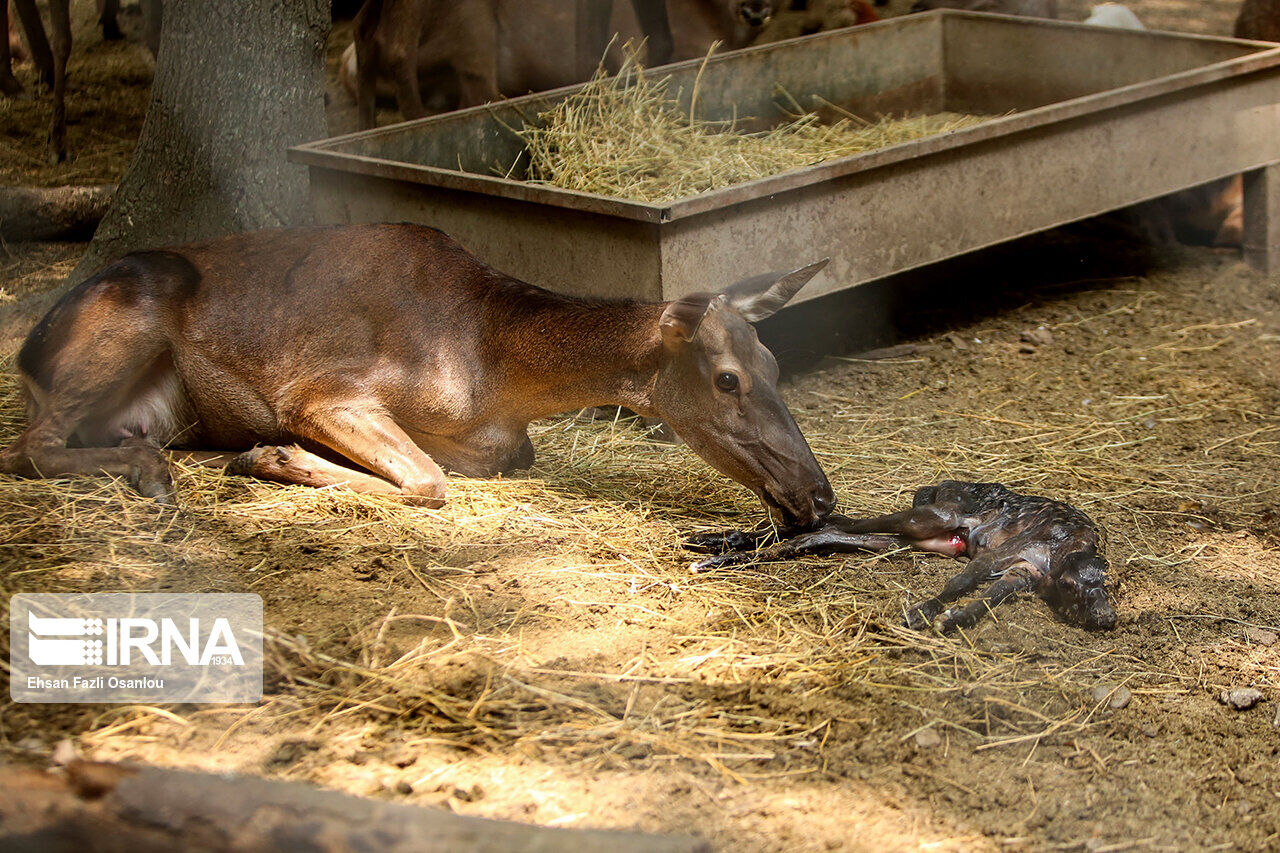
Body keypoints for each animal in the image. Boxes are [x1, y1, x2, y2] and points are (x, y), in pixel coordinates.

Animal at [0, 220, 834, 525]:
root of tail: (28, 352)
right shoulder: (321, 389)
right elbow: (428, 481)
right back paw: (152, 471)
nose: (821, 494)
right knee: (30, 444)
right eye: (728, 378)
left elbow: (475, 464)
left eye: (775, 362)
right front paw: (275, 455)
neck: (499, 373)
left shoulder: (503, 441)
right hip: (130, 313)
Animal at [686, 481, 1116, 627]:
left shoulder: (1022, 574)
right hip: (934, 516)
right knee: (831, 521)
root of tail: (940, 485)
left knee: (829, 532)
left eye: (1109, 587)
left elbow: (983, 602)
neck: (1068, 548)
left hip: (916, 539)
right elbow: (959, 583)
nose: (1107, 617)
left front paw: (952, 619)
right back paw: (715, 546)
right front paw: (921, 612)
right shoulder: (998, 555)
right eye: (1074, 587)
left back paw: (722, 549)